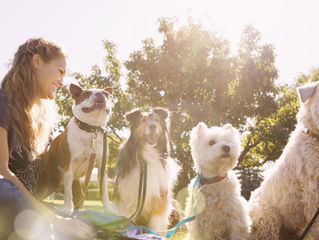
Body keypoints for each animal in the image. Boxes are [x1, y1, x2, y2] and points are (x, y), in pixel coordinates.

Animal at [36, 83, 114, 215]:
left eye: (107, 94)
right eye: (86, 94)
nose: (100, 94)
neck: (91, 129)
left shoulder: (102, 169)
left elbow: (104, 192)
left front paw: (109, 209)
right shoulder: (69, 166)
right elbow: (68, 193)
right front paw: (68, 208)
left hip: (78, 188)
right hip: (44, 185)